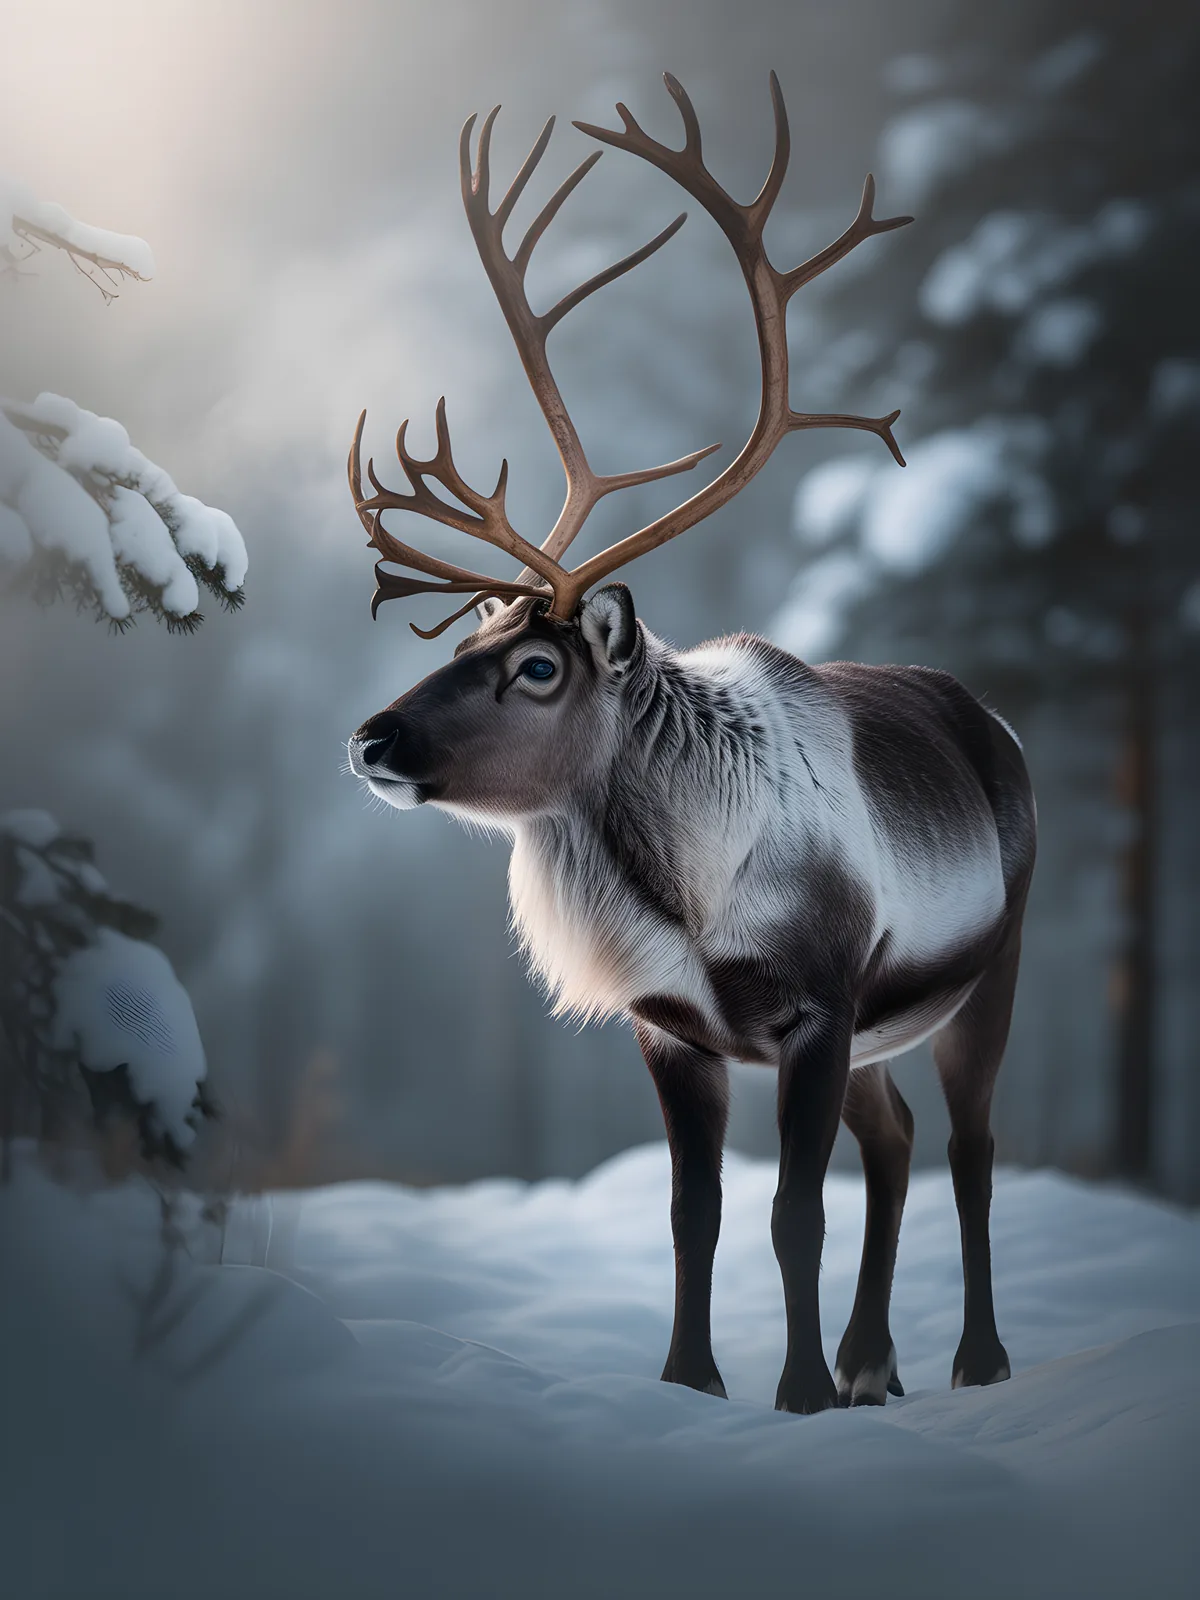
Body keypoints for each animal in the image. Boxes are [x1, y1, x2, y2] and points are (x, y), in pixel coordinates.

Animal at [345, 74, 1036, 1414]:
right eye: (477, 629)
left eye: (538, 664)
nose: (370, 737)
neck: (685, 892)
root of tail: (991, 722)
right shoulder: (671, 1028)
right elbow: (692, 1216)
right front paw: (689, 1385)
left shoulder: (818, 1002)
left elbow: (790, 1212)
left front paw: (795, 1393)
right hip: (882, 1025)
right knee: (897, 1142)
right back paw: (876, 1365)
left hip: (990, 966)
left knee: (972, 1147)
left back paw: (972, 1360)